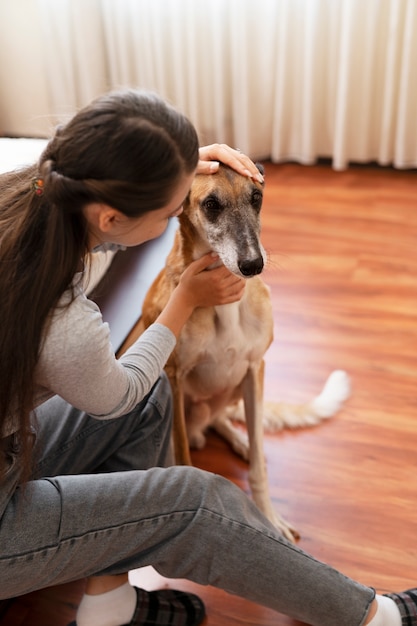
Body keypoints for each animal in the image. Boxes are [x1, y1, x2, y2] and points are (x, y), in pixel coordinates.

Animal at [130, 163, 348, 540]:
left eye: (257, 197)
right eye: (211, 205)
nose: (253, 265)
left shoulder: (254, 368)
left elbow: (260, 463)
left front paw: (270, 517)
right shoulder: (172, 376)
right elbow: (183, 455)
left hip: (234, 389)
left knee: (227, 420)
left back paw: (242, 441)